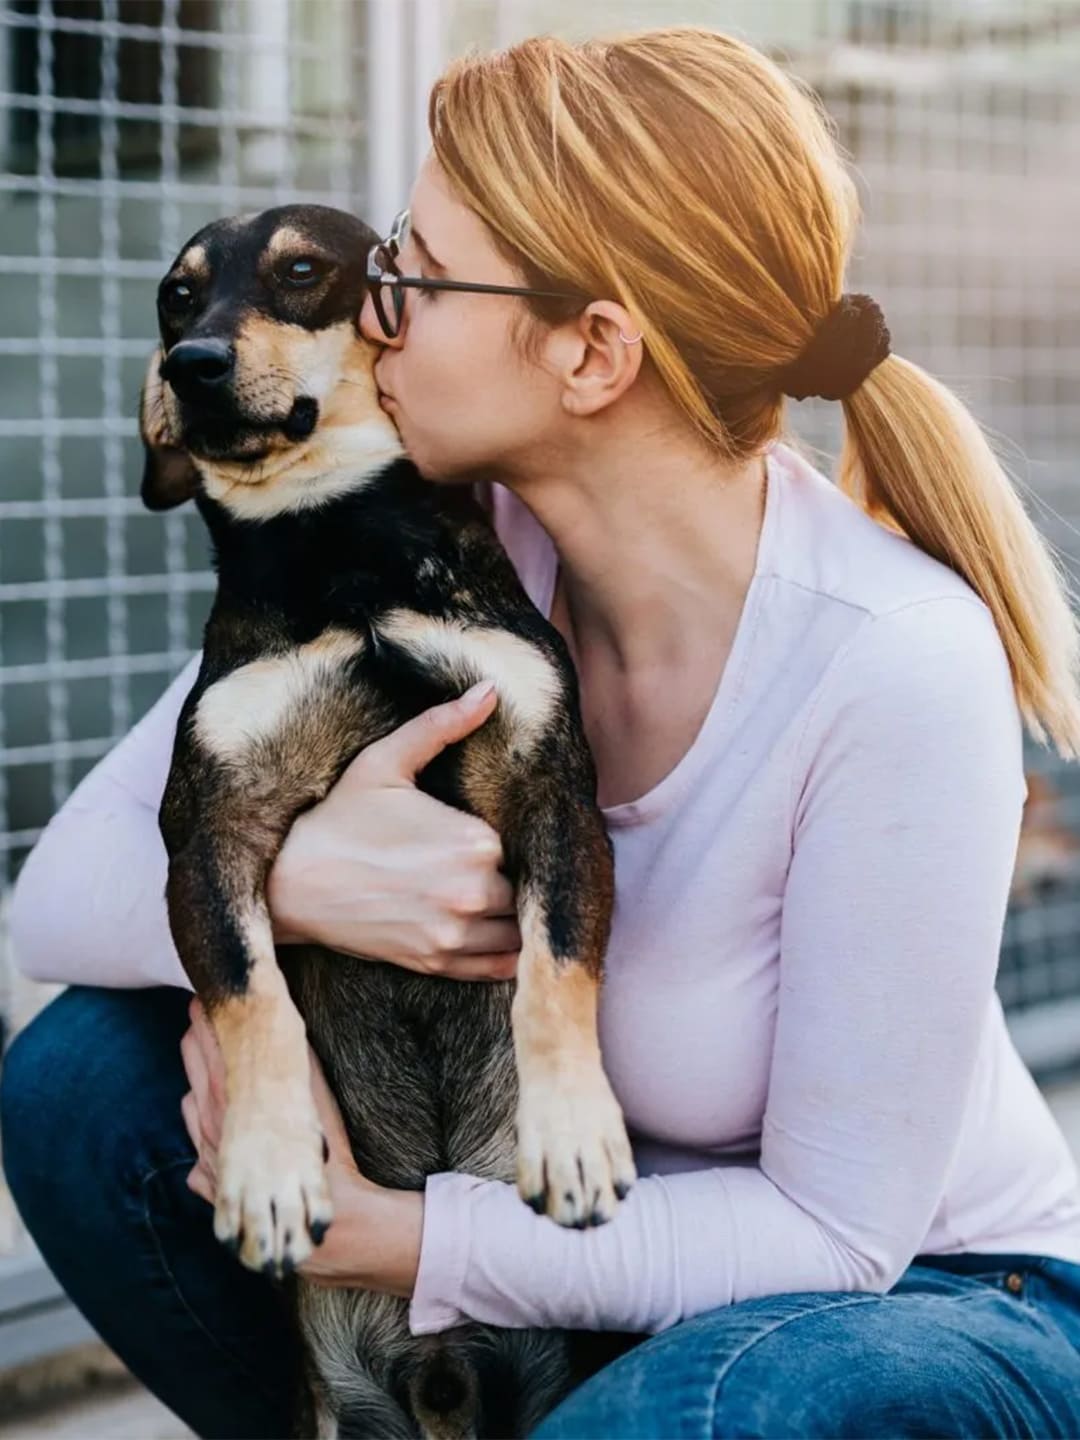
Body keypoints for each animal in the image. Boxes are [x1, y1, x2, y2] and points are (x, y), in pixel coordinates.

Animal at [138, 205, 639, 1440]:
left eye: (302, 271)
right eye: (176, 296)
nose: (190, 365)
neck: (340, 551)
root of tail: (439, 1373)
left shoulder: (555, 793)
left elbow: (557, 971)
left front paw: (574, 1132)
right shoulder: (203, 838)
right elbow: (250, 998)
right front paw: (270, 1167)